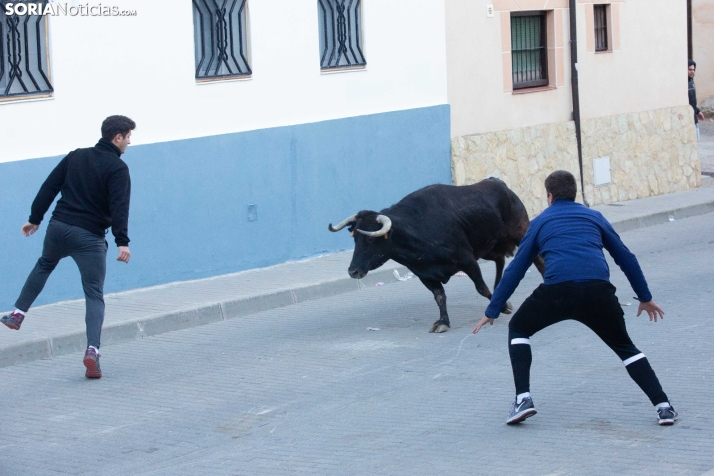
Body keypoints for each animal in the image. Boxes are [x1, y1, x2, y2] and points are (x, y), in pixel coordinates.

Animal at [326, 177, 544, 332]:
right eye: (355, 238)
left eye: (371, 240)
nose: (353, 271)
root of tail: (500, 184)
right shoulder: (425, 274)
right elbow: (439, 296)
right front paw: (443, 322)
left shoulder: (468, 261)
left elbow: (481, 288)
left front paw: (502, 306)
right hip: (489, 248)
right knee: (500, 260)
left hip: (521, 233)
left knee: (537, 259)